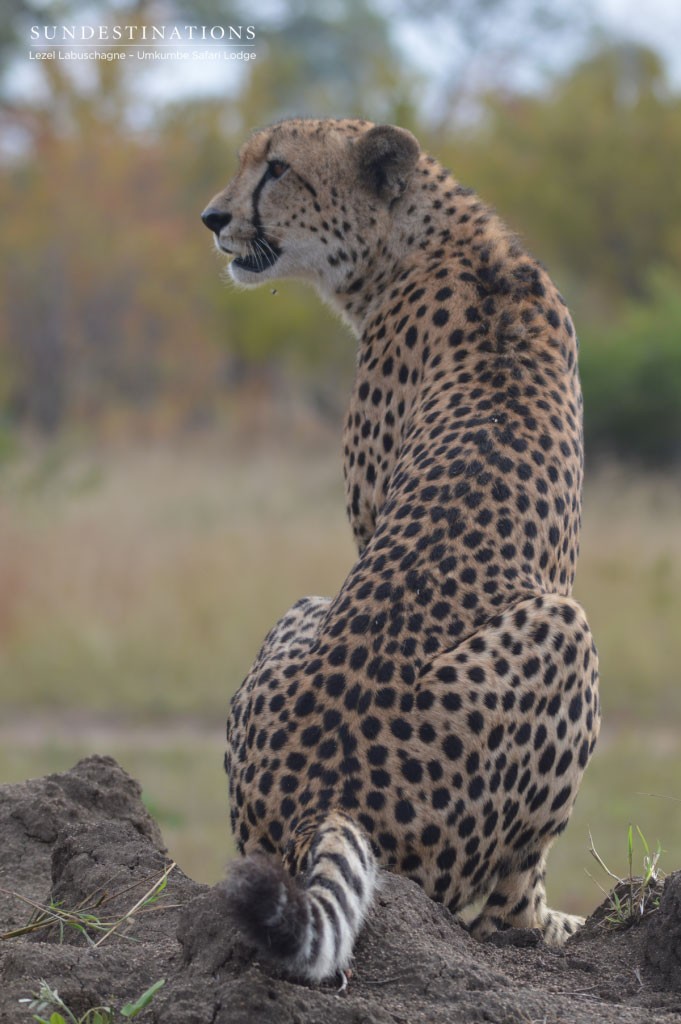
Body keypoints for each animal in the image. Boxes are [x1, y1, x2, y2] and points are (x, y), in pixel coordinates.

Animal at [201, 117, 602, 983]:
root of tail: (318, 802)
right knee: (505, 903)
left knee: (507, 902)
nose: (213, 218)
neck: (434, 240)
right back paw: (562, 925)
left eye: (276, 169)